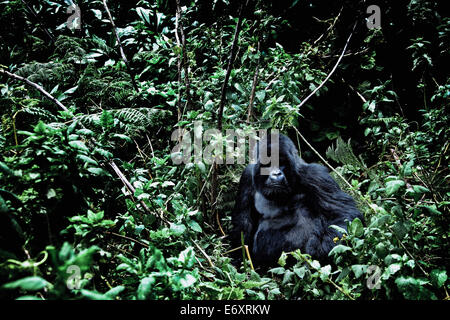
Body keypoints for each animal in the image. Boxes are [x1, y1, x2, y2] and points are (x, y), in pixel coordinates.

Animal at [232, 132, 362, 268]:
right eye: (268, 164)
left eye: (281, 163)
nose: (276, 174)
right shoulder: (247, 176)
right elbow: (243, 224)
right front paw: (239, 259)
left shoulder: (316, 174)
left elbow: (342, 213)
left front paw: (317, 250)